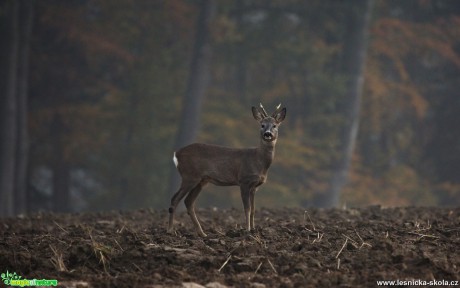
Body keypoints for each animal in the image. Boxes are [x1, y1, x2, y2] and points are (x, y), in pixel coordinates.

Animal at [167, 103, 286, 236]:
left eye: (274, 125)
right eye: (262, 125)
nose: (267, 134)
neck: (259, 161)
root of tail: (176, 153)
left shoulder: (255, 186)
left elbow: (254, 209)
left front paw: (254, 229)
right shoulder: (244, 180)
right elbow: (247, 208)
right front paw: (247, 230)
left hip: (201, 180)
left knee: (188, 202)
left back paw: (202, 233)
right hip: (189, 176)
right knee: (175, 199)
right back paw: (170, 230)